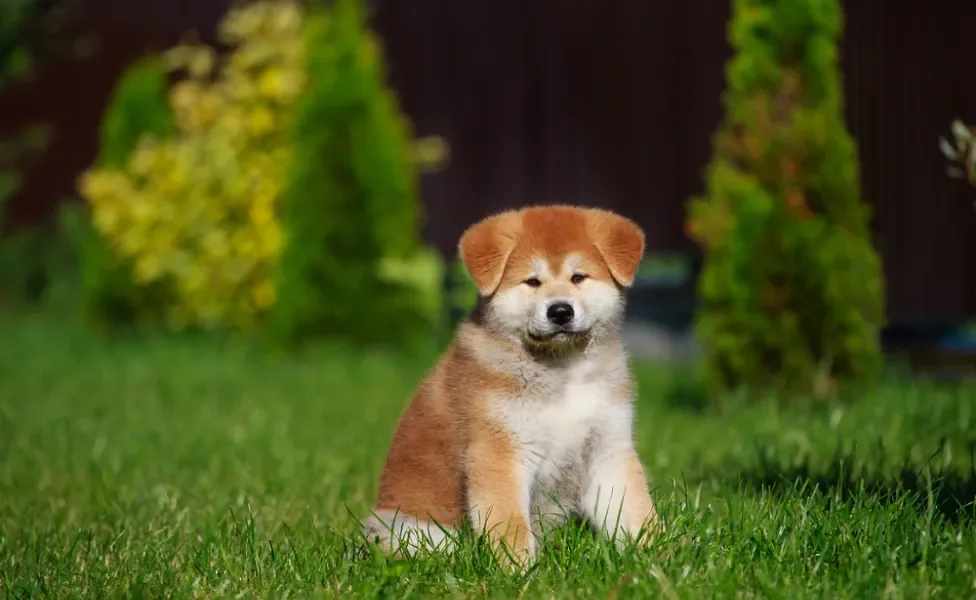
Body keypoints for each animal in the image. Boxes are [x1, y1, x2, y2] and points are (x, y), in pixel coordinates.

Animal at [362, 204, 660, 564]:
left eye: (578, 277)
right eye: (532, 281)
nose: (560, 311)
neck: (562, 372)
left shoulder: (607, 446)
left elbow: (634, 510)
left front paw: (656, 557)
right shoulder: (500, 450)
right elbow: (510, 524)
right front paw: (520, 569)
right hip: (406, 530)